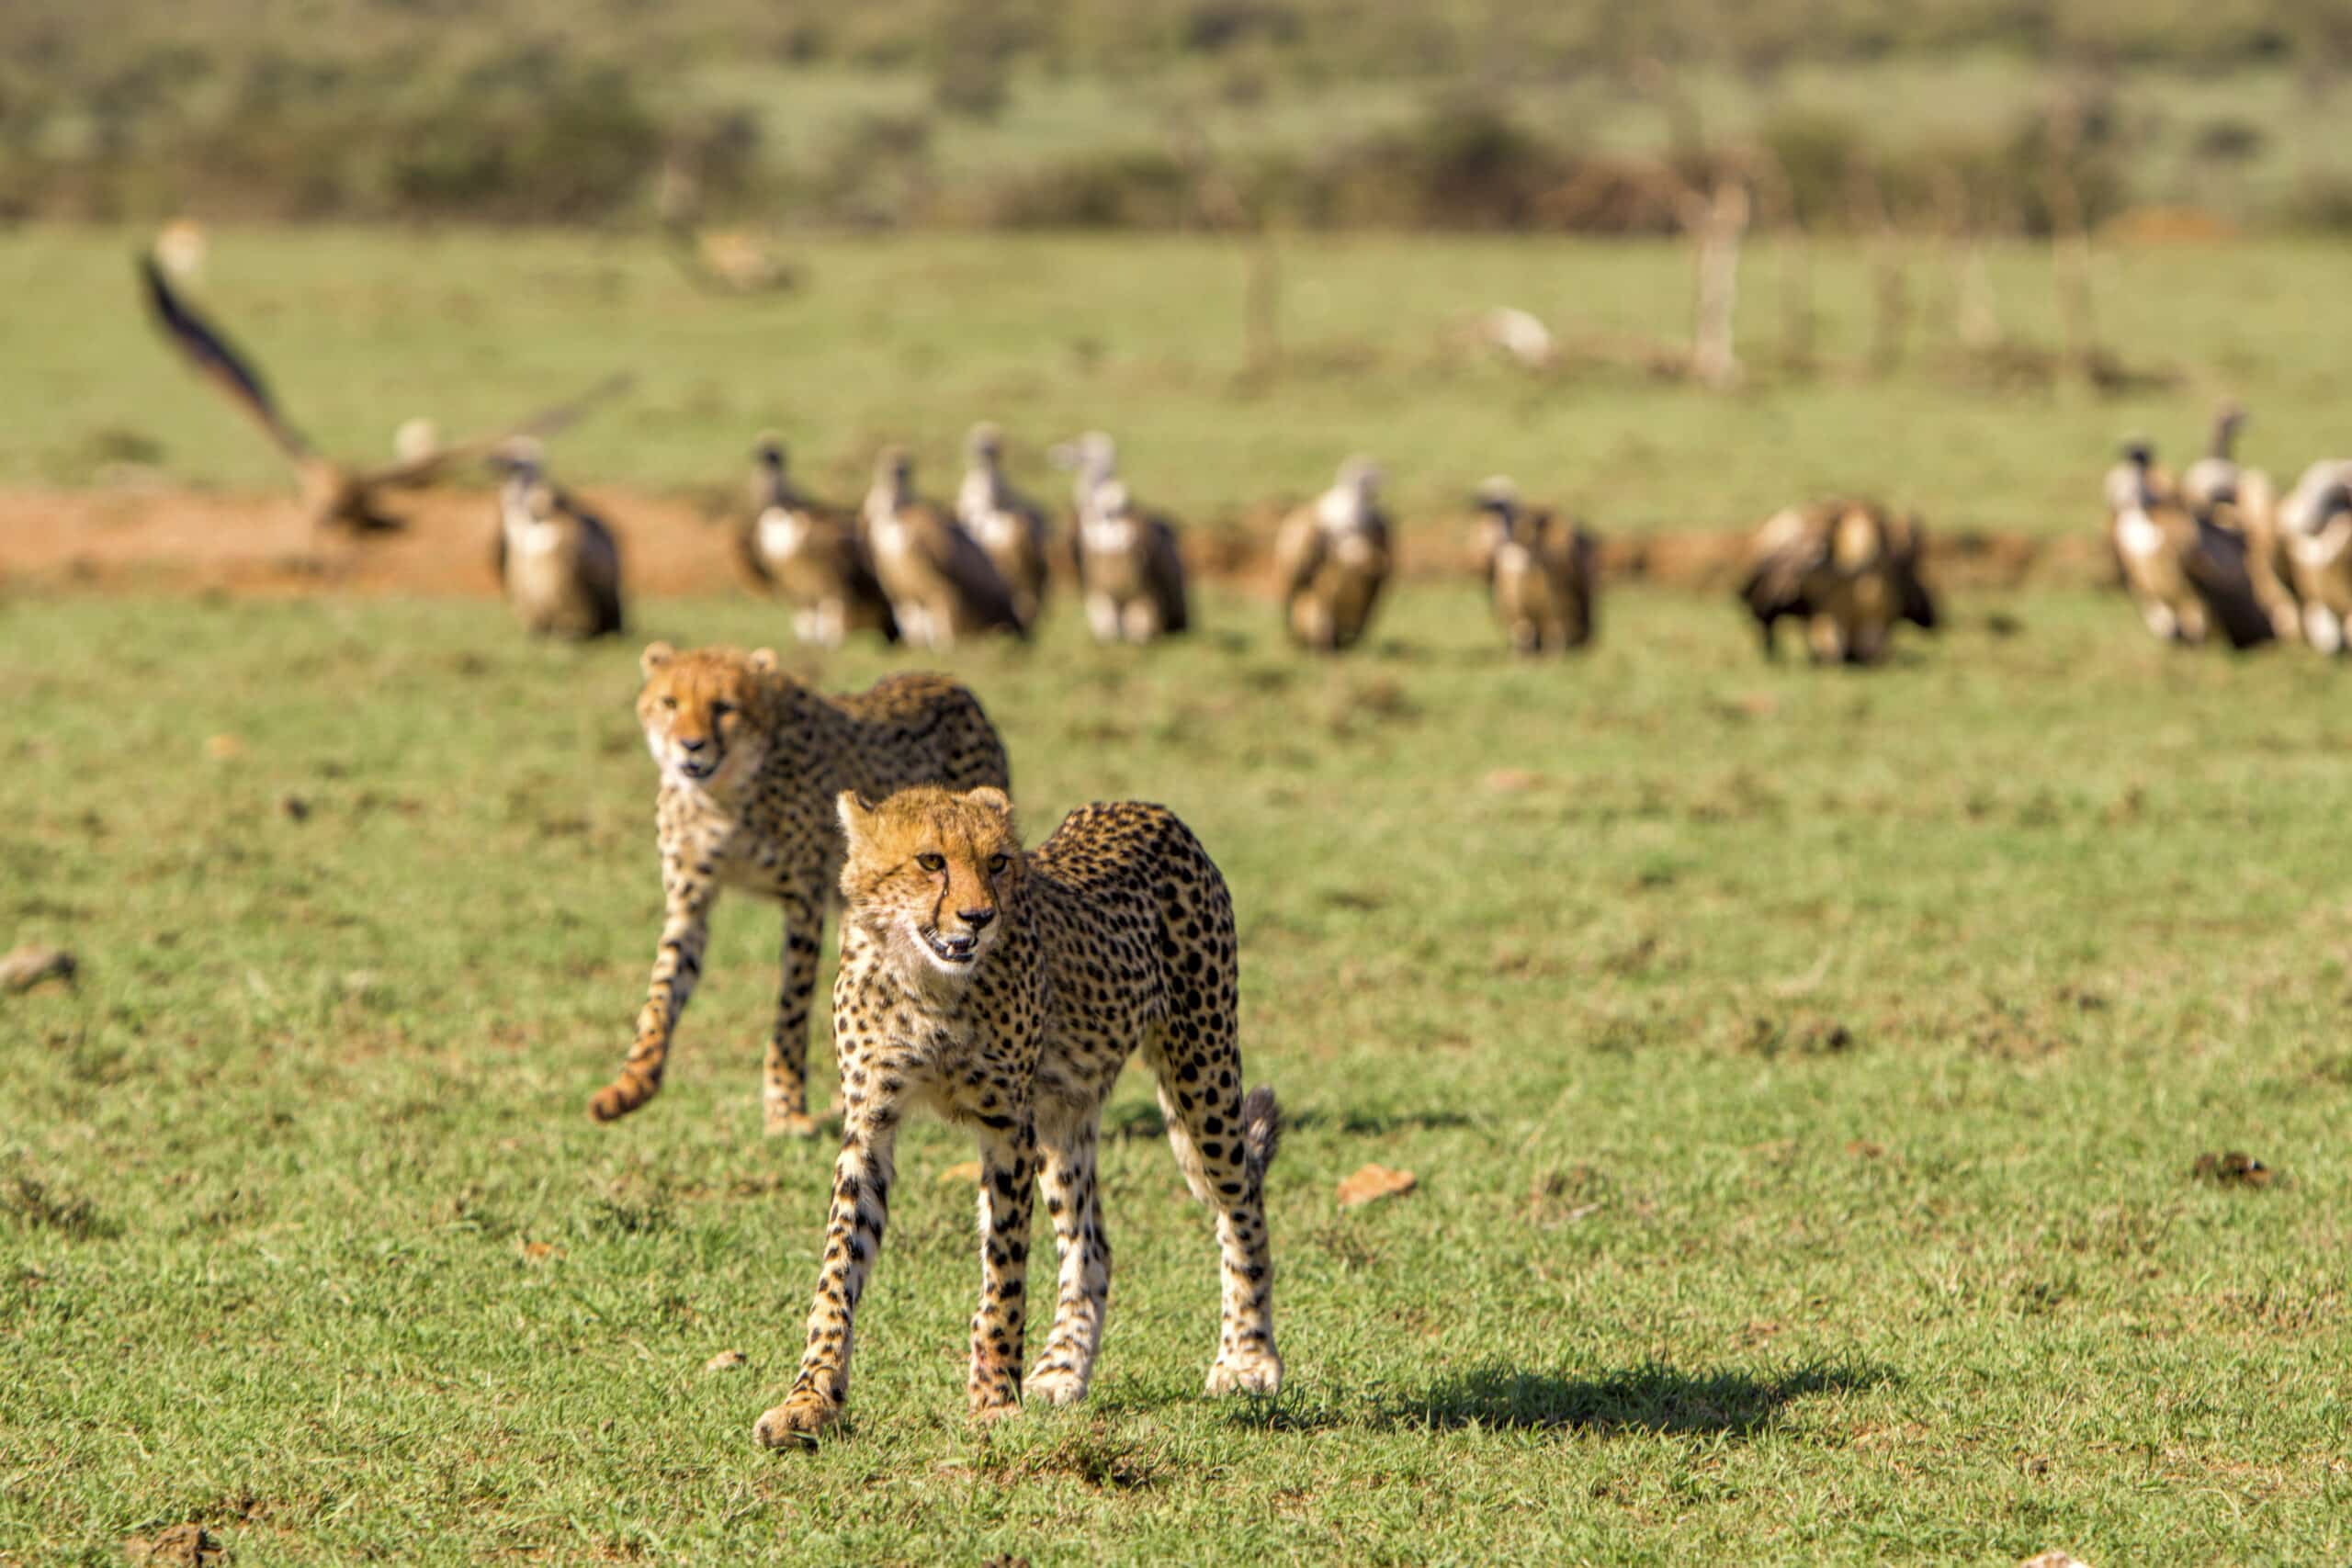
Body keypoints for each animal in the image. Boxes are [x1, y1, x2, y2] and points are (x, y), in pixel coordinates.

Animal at [757, 784, 1288, 1448]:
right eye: (930, 860)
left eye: (998, 862)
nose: (979, 917)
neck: (927, 985)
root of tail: (1146, 809)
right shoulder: (869, 1124)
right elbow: (837, 1270)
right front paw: (810, 1398)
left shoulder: (1006, 1126)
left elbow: (1004, 1272)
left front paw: (993, 1402)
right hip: (1064, 1114)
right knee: (1092, 1245)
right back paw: (1062, 1367)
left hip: (1201, 1069)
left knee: (1241, 1203)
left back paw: (1248, 1356)